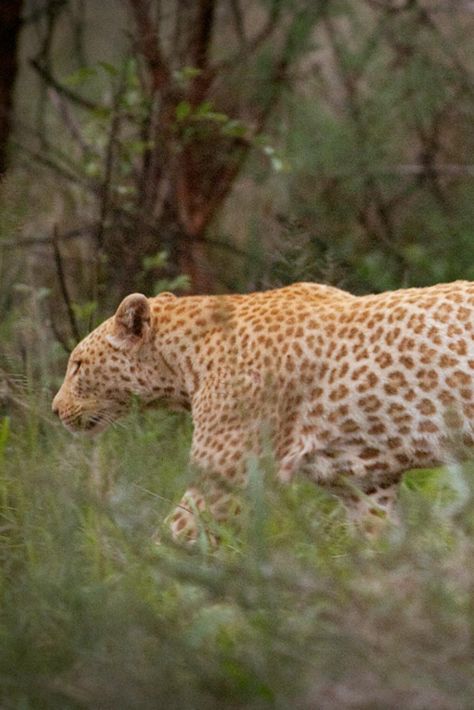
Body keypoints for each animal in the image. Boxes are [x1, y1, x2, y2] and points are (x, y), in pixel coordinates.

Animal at [51, 280, 474, 544]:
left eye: (77, 366)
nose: (55, 410)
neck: (186, 361)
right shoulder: (367, 486)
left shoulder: (223, 481)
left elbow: (173, 539)